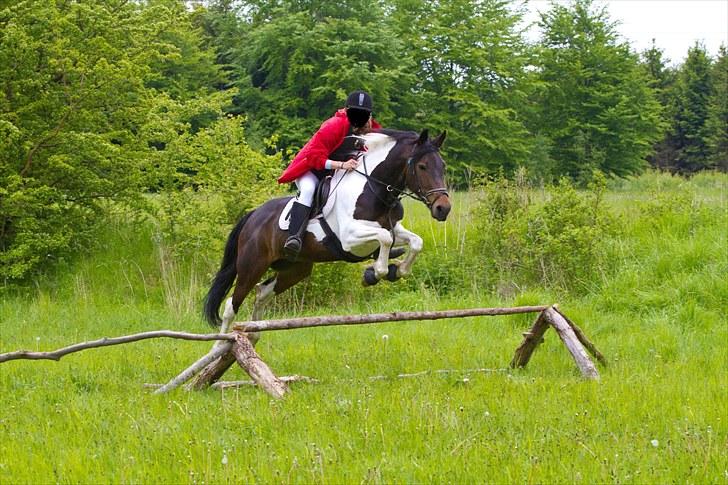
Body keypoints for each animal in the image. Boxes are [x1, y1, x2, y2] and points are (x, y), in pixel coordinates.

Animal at [203, 126, 450, 334]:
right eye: (422, 166)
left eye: (443, 166)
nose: (443, 208)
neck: (372, 189)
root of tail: (253, 216)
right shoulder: (349, 238)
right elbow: (384, 241)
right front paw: (376, 273)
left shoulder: (393, 228)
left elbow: (415, 242)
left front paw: (397, 270)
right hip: (252, 265)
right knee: (231, 306)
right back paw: (223, 345)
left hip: (295, 268)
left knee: (262, 294)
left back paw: (253, 334)